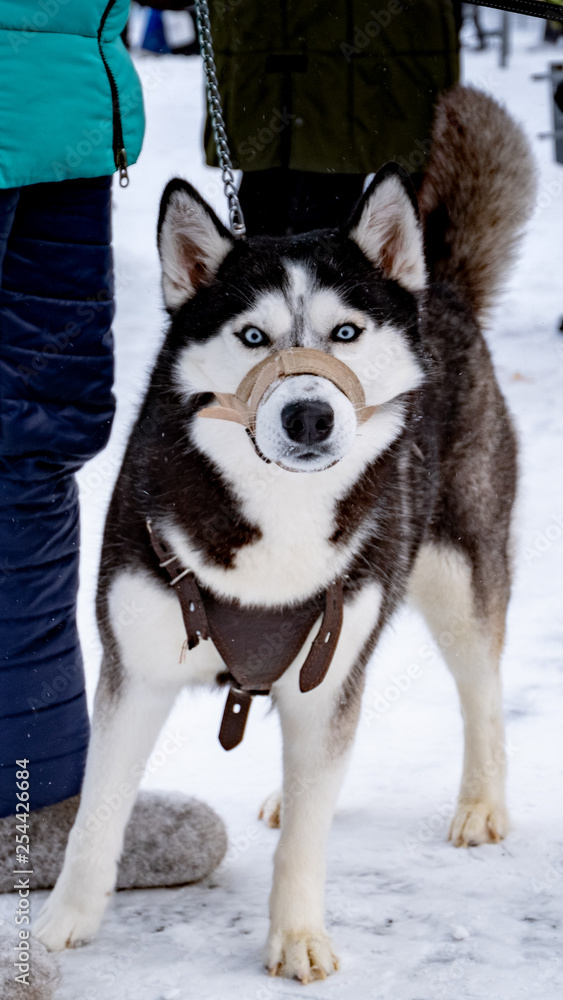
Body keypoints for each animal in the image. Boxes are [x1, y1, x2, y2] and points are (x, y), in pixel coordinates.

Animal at [35, 90, 536, 980]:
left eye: (344, 333)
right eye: (251, 336)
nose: (308, 415)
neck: (279, 514)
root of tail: (436, 289)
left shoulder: (331, 667)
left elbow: (307, 837)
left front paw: (297, 935)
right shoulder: (137, 665)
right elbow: (97, 814)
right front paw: (65, 924)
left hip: (455, 573)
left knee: (478, 689)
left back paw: (481, 802)